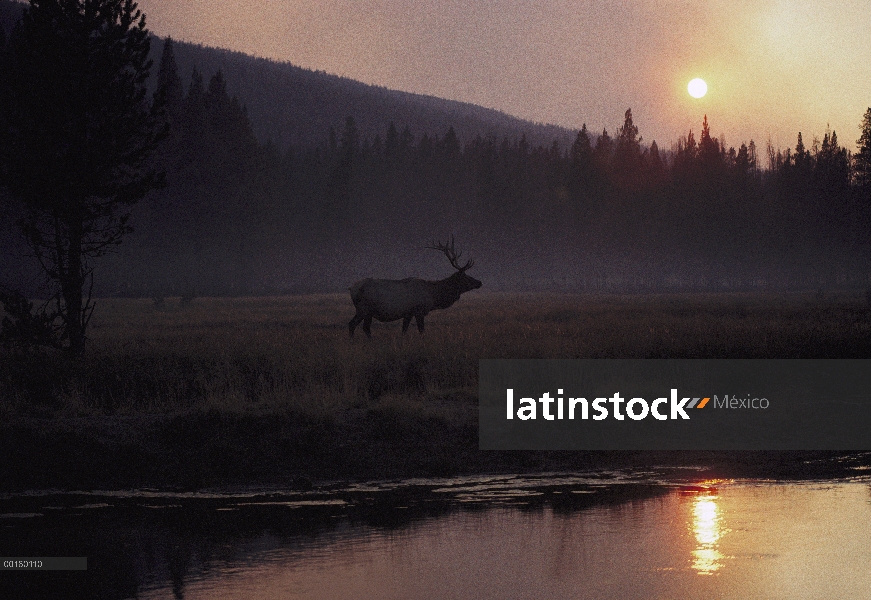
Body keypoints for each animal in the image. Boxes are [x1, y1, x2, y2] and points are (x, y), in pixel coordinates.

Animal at [350, 238, 484, 338]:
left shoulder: (408, 313)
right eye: (465, 277)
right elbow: (421, 330)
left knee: (355, 325)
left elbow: (404, 330)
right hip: (365, 309)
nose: (480, 282)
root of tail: (351, 289)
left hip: (363, 311)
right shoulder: (419, 310)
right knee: (360, 326)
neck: (433, 296)